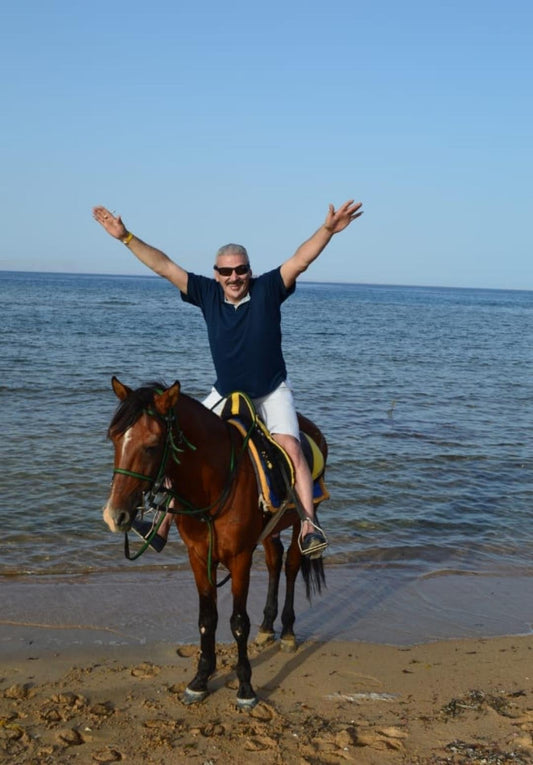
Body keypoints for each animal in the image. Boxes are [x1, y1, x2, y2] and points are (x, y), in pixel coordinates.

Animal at [102, 374, 326, 704]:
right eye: (114, 438)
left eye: (152, 446)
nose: (115, 515)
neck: (214, 483)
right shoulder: (198, 556)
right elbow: (207, 619)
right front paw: (200, 679)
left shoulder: (240, 557)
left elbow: (238, 622)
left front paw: (245, 686)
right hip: (270, 528)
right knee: (275, 559)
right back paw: (267, 626)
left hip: (300, 519)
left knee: (292, 565)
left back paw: (286, 630)